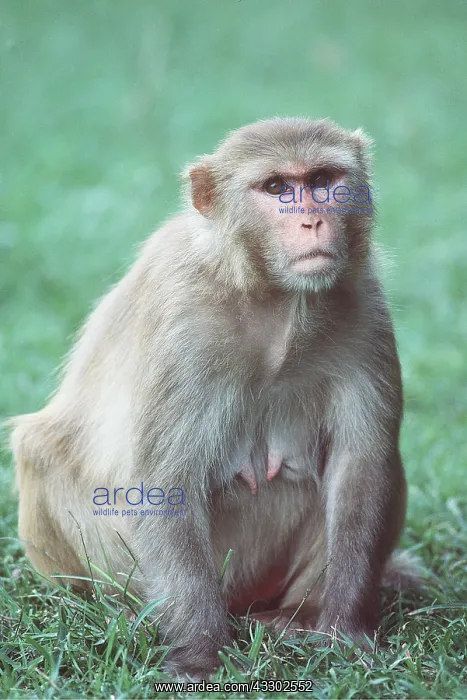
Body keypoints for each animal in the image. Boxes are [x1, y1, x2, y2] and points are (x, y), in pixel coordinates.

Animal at [10, 117, 421, 679]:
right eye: (277, 187)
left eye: (322, 180)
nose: (312, 220)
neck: (271, 296)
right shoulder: (181, 319)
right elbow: (165, 483)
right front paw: (201, 653)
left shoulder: (363, 307)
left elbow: (360, 465)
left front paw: (344, 632)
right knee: (42, 450)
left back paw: (296, 615)